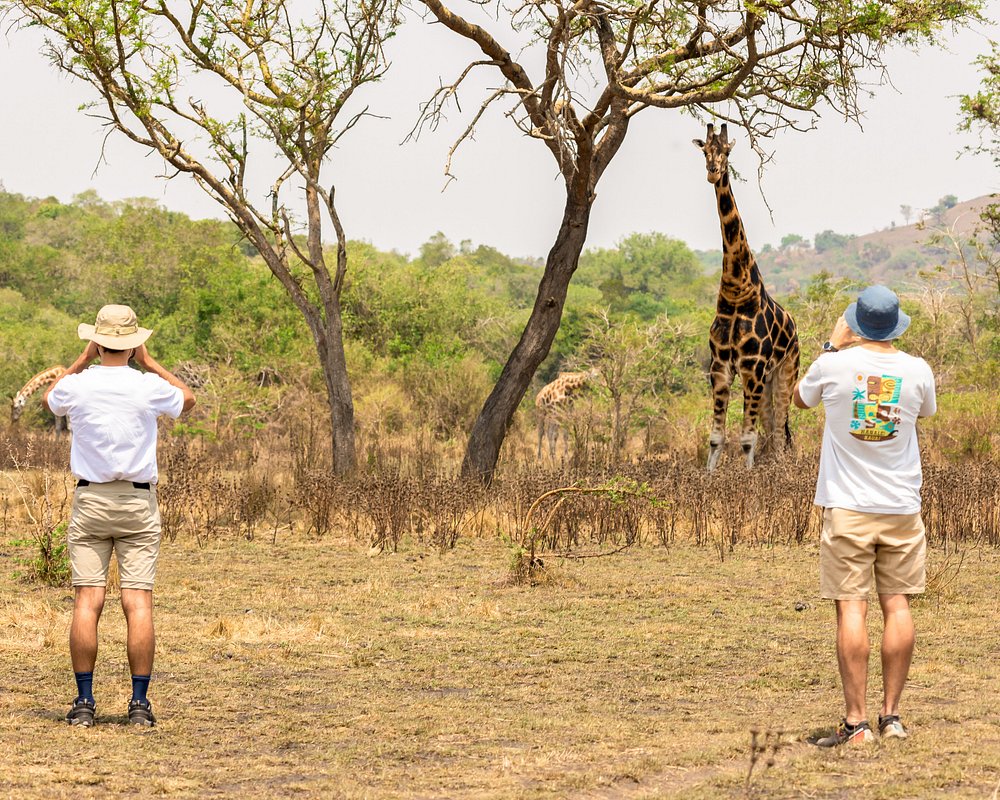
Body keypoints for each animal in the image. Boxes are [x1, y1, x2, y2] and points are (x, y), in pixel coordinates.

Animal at [692, 123, 800, 470]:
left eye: (726, 151)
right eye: (704, 150)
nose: (713, 172)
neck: (736, 290)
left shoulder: (753, 365)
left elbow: (746, 439)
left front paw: (750, 478)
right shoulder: (721, 367)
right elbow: (716, 438)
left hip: (785, 372)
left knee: (779, 431)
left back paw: (780, 470)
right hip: (764, 382)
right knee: (772, 428)